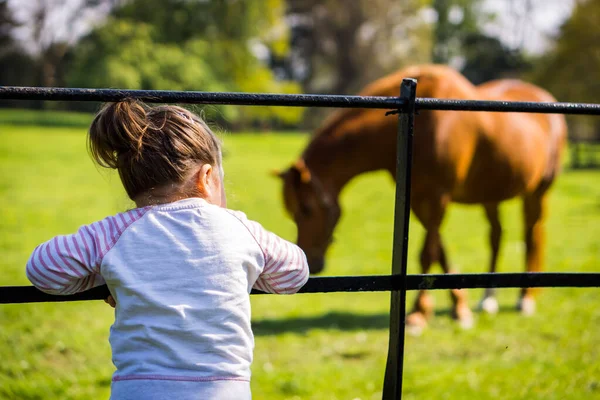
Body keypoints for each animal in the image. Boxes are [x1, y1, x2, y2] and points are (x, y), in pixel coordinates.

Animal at [276, 64, 568, 330]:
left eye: (307, 208)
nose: (313, 262)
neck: (421, 124)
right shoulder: (418, 200)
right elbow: (439, 251)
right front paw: (459, 307)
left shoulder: (438, 198)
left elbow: (428, 254)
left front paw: (419, 313)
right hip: (491, 196)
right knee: (496, 237)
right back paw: (488, 300)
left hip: (538, 192)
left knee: (532, 235)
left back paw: (525, 298)